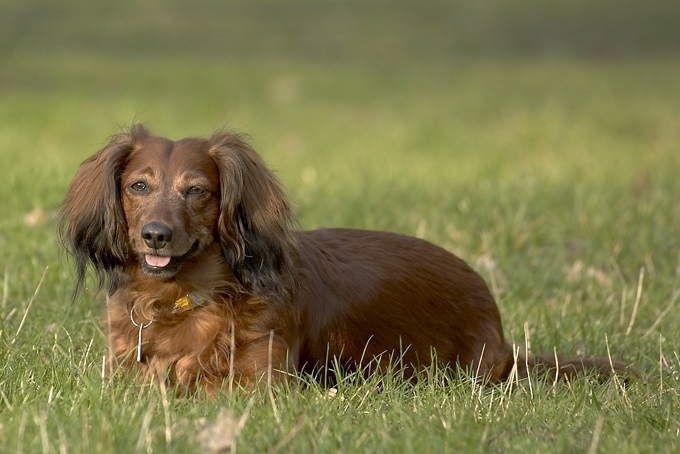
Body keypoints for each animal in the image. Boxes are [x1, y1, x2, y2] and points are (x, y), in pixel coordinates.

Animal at [58, 125, 632, 394]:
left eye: (196, 190)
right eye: (138, 186)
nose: (155, 236)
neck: (184, 299)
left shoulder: (261, 384)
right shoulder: (121, 375)